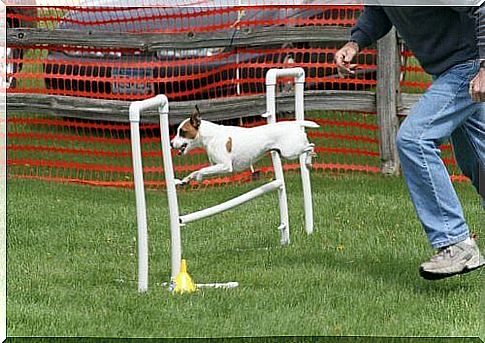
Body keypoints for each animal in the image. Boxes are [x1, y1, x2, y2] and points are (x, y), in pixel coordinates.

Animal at [170, 107, 318, 187]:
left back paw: (309, 161)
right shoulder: (218, 167)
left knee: (310, 146)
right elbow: (196, 172)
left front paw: (199, 178)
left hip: (290, 152)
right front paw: (185, 180)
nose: (171, 144)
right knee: (308, 146)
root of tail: (295, 123)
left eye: (182, 132)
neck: (210, 136)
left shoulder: (225, 166)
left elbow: (201, 170)